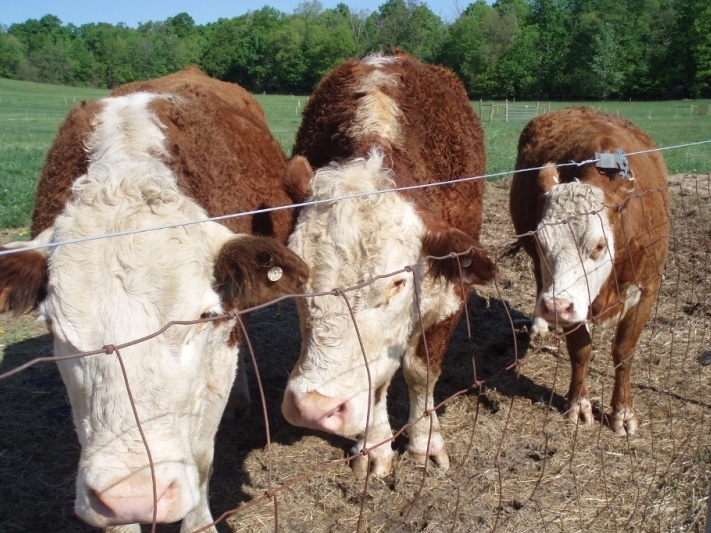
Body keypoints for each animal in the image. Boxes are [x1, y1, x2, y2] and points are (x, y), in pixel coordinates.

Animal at [280, 51, 498, 477]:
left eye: (397, 283)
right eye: (299, 282)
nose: (313, 407)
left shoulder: (451, 295)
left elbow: (420, 371)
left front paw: (426, 441)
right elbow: (376, 382)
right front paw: (375, 447)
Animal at [509, 106, 670, 436]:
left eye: (598, 245)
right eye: (541, 240)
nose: (554, 306)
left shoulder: (649, 287)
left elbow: (624, 350)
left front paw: (623, 412)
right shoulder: (570, 301)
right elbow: (581, 349)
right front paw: (579, 405)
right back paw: (539, 325)